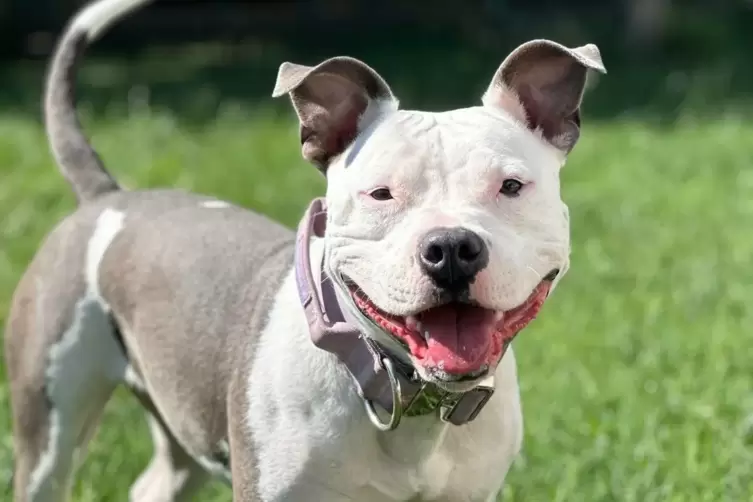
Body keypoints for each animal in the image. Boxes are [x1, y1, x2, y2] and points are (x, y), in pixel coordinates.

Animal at [4, 0, 604, 500]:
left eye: (511, 186)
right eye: (381, 193)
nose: (452, 247)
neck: (409, 397)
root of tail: (110, 198)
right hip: (48, 432)